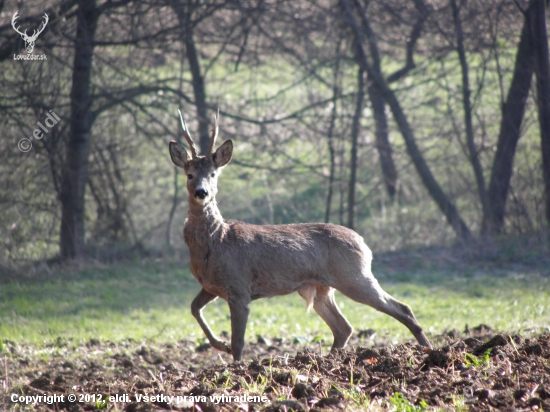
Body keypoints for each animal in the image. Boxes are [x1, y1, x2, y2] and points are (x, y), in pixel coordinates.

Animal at [170, 109, 434, 360]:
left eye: (213, 174)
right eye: (189, 175)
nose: (201, 192)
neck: (216, 242)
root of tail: (364, 244)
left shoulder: (238, 287)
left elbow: (239, 343)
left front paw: (235, 363)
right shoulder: (211, 286)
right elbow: (194, 308)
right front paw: (219, 345)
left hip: (353, 275)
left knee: (402, 308)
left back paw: (428, 350)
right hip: (322, 288)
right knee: (344, 328)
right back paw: (328, 360)